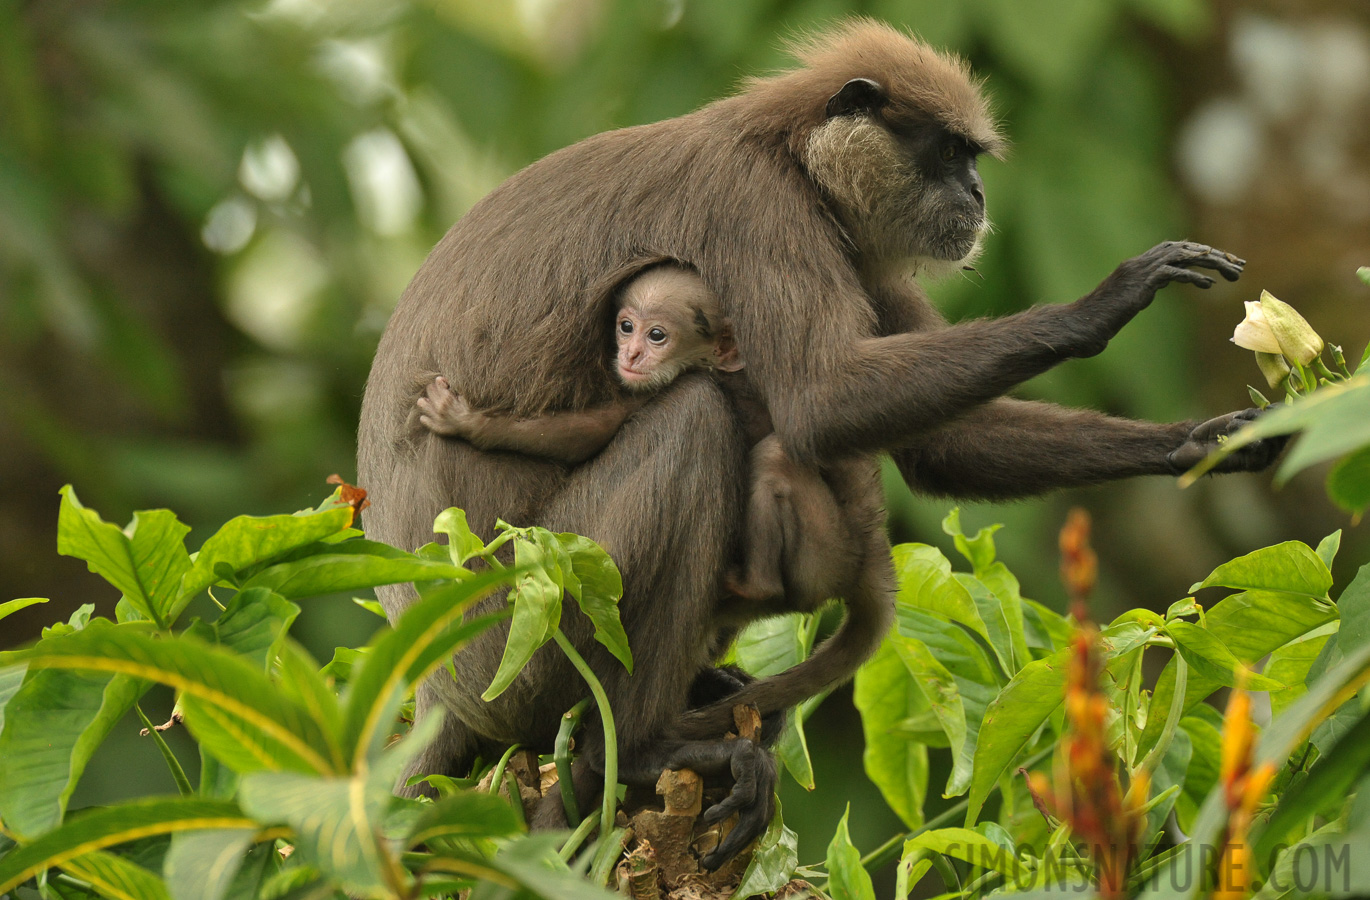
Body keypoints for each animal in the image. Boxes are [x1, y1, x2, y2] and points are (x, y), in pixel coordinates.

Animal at [416, 263, 865, 608]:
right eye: (626, 327)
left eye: (657, 336)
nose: (630, 354)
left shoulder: (658, 384)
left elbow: (585, 434)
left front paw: (467, 422)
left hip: (825, 546)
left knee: (767, 454)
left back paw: (756, 586)